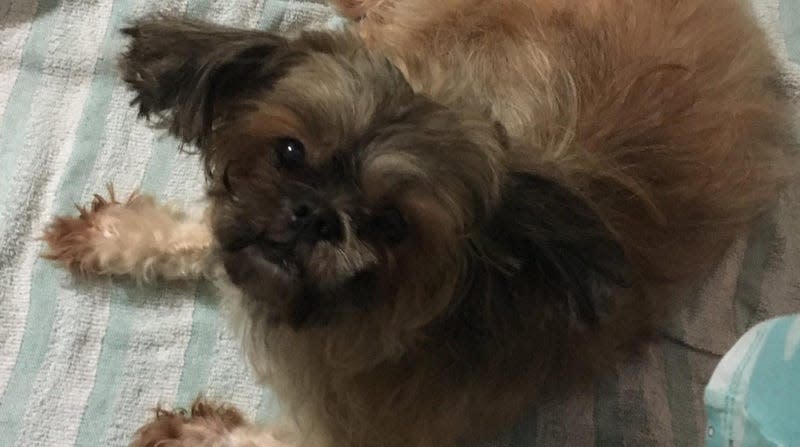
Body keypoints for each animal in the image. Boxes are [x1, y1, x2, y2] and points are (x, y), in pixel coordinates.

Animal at [42, 0, 792, 447]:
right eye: (290, 153)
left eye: (394, 225)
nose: (316, 215)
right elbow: (201, 230)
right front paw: (119, 237)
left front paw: (195, 434)